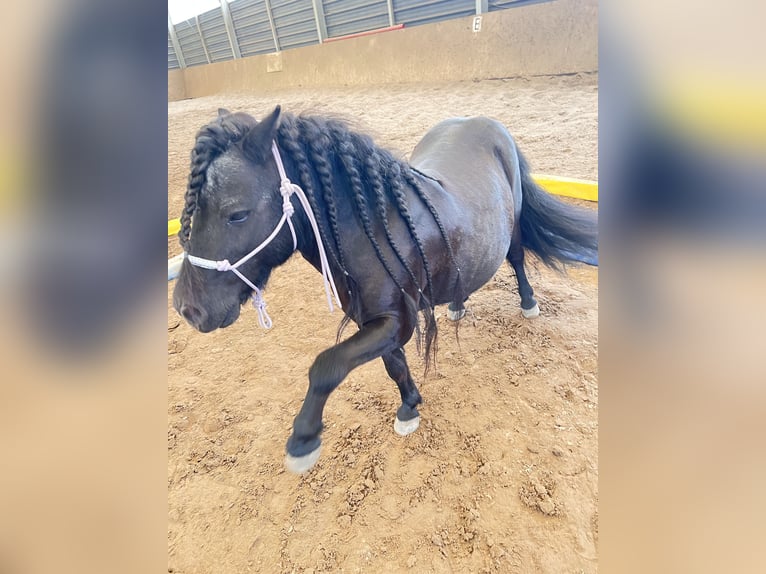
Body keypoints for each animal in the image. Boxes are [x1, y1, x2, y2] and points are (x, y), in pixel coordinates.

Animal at [176, 106, 600, 474]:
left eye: (237, 214)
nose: (187, 308)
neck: (375, 229)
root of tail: (486, 123)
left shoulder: (399, 321)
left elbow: (327, 366)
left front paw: (303, 440)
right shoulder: (376, 319)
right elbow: (392, 365)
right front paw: (410, 406)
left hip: (511, 229)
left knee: (516, 258)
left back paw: (528, 302)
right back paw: (457, 304)